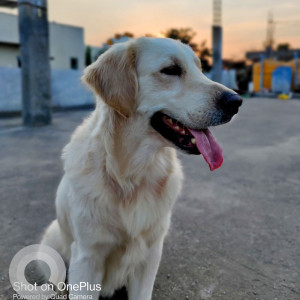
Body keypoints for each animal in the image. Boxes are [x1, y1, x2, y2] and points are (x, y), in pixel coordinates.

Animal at [40, 37, 241, 300]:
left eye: (200, 69)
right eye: (171, 70)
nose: (236, 102)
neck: (130, 173)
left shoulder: (150, 253)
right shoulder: (87, 256)